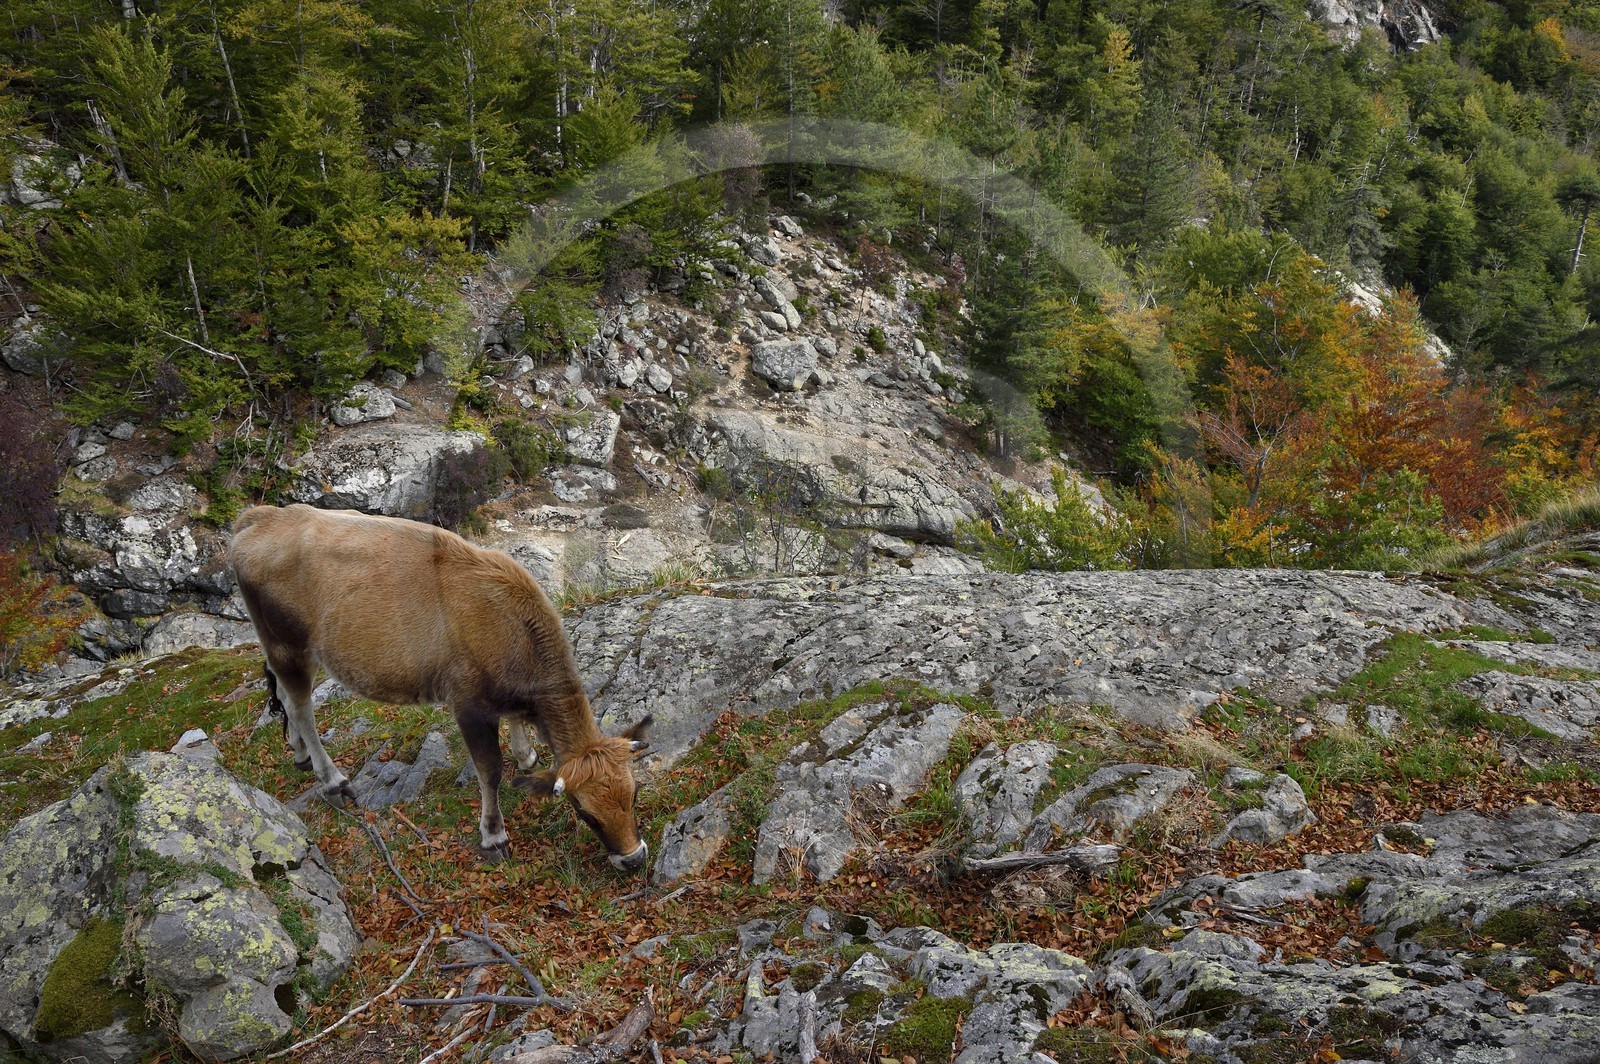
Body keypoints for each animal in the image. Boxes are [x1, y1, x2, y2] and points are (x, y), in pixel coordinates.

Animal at [227, 504, 653, 870]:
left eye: (634, 795)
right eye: (586, 813)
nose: (634, 860)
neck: (512, 626)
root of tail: (262, 516)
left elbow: (516, 732)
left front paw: (526, 754)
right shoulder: (467, 704)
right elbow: (490, 770)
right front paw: (494, 835)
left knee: (284, 697)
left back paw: (299, 753)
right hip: (286, 645)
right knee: (301, 708)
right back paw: (332, 780)